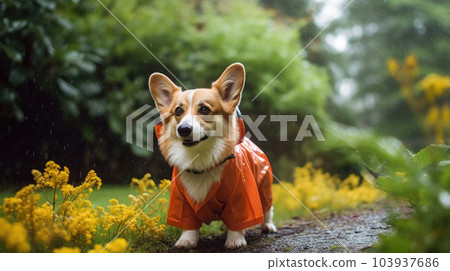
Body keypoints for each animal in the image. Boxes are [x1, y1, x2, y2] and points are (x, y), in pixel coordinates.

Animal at [149, 62, 274, 250]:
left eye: (204, 109)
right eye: (178, 111)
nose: (183, 129)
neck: (201, 159)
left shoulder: (241, 196)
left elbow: (238, 220)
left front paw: (235, 240)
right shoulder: (181, 201)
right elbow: (188, 224)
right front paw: (186, 241)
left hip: (264, 186)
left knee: (267, 208)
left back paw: (268, 226)